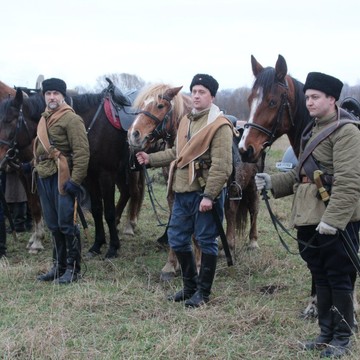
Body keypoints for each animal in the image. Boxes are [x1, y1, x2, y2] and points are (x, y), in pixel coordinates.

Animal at [128, 83, 262, 278]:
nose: (133, 135)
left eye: (160, 106)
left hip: (251, 185)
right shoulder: (174, 195)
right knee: (231, 212)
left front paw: (198, 266)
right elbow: (175, 227)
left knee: (252, 209)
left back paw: (250, 243)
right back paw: (227, 247)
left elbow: (197, 234)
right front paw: (171, 265)